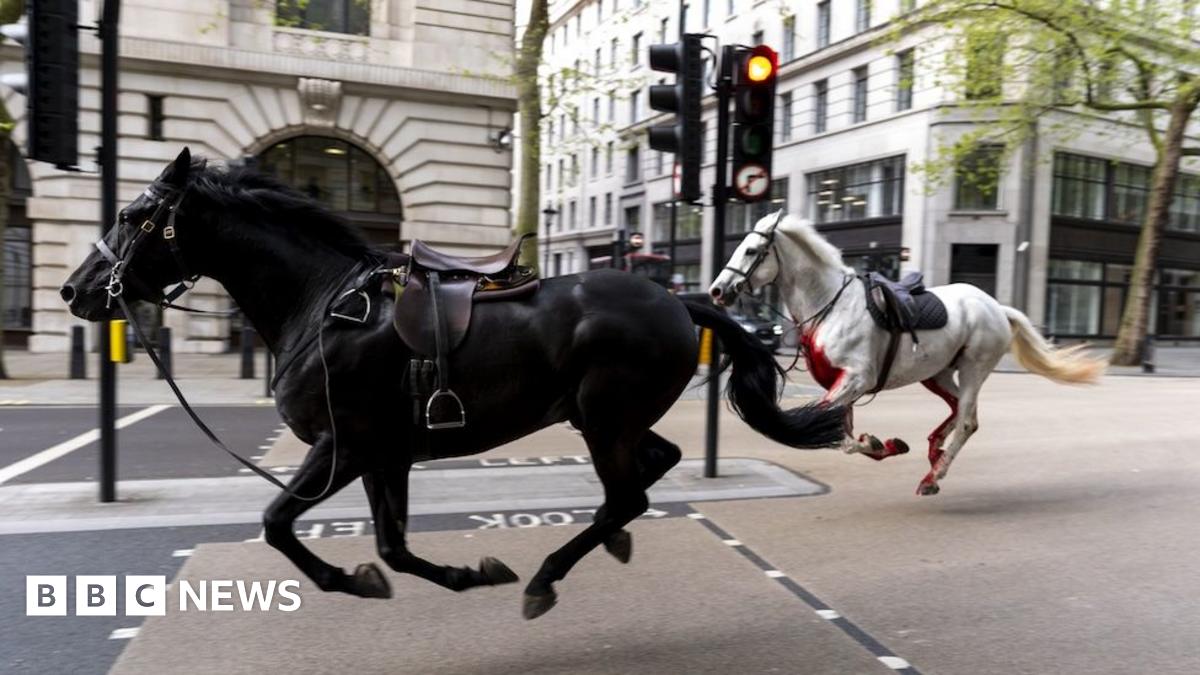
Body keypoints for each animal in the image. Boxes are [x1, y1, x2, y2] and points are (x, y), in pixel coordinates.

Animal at [58, 149, 844, 619]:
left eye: (131, 215)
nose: (74, 290)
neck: (323, 305)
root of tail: (677, 300)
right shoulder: (385, 454)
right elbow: (392, 547)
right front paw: (460, 573)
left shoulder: (343, 446)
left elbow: (279, 522)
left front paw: (352, 579)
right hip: (603, 417)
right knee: (652, 469)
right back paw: (605, 542)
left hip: (602, 416)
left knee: (628, 492)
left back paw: (547, 575)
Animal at [705, 212, 1099, 492]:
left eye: (751, 250)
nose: (717, 291)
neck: (831, 305)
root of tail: (997, 307)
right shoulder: (843, 385)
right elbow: (841, 435)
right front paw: (884, 444)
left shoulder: (856, 378)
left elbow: (831, 433)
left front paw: (880, 443)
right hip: (938, 373)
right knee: (959, 410)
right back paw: (934, 452)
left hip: (974, 367)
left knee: (967, 421)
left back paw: (933, 477)